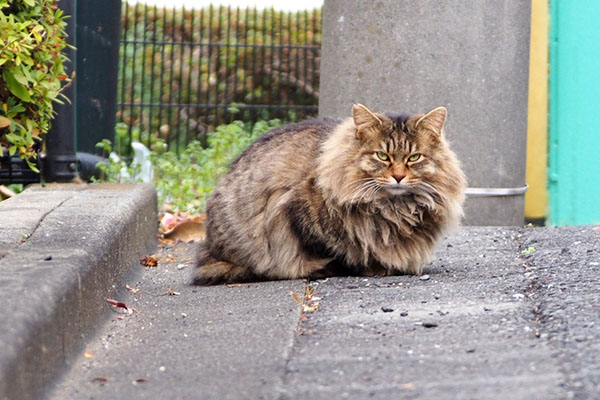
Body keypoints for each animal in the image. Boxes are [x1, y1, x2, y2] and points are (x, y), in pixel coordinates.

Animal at [195, 103, 466, 284]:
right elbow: (336, 249)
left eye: (414, 158)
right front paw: (372, 267)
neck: (394, 209)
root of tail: (208, 249)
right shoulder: (293, 210)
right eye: (382, 156)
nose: (398, 176)